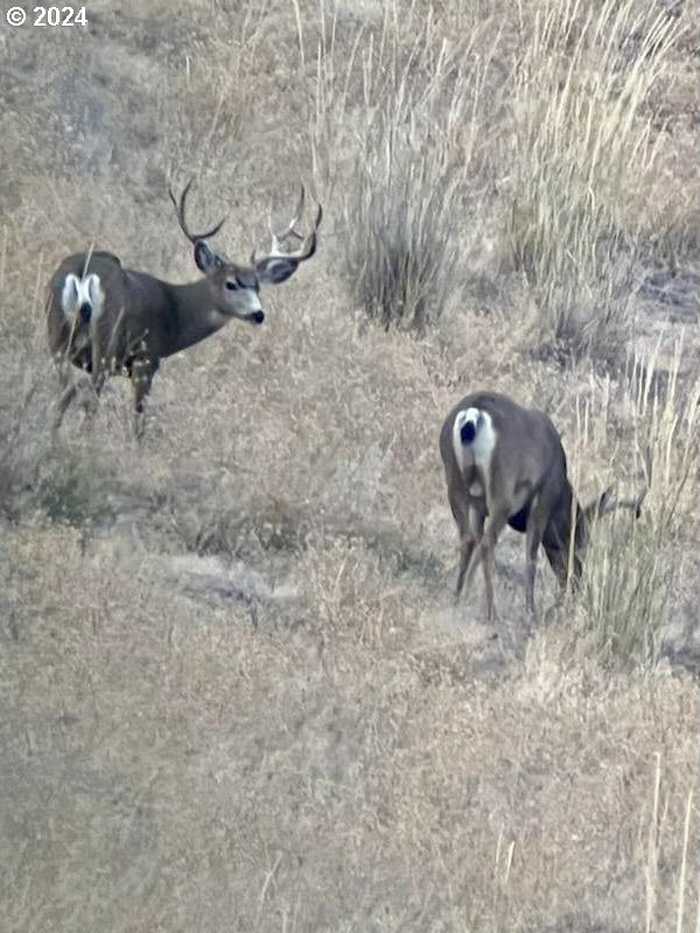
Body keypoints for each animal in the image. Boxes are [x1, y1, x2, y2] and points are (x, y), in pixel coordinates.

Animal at [46, 182, 322, 436]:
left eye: (257, 287)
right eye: (230, 283)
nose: (258, 314)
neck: (175, 314)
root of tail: (84, 274)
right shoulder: (147, 358)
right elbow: (138, 418)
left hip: (57, 334)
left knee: (65, 390)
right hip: (106, 344)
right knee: (87, 396)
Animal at [440, 390, 648, 624]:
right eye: (582, 543)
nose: (575, 583)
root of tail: (473, 414)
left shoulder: (479, 507)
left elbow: (476, 538)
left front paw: (467, 592)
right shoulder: (543, 499)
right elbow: (531, 555)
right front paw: (530, 611)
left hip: (454, 479)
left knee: (468, 538)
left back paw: (458, 597)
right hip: (501, 488)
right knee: (487, 542)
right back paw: (492, 612)